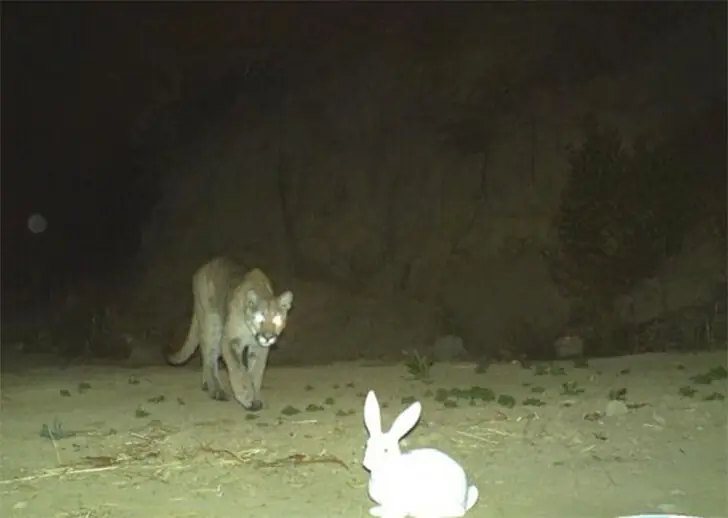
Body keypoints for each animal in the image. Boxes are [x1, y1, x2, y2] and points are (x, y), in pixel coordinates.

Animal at [362, 390, 479, 518]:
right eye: (367, 445)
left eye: (385, 450)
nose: (366, 464)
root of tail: (464, 501)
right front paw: (375, 511)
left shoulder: (399, 504)